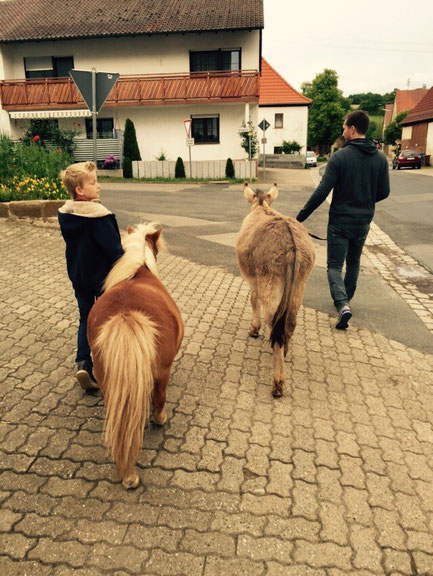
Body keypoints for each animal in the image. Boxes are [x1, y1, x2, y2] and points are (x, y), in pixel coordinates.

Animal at [236, 183, 314, 396]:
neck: (262, 207)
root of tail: (291, 242)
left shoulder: (253, 279)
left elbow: (253, 300)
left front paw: (254, 329)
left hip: (271, 282)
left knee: (274, 323)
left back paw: (278, 382)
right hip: (298, 285)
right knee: (290, 322)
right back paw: (285, 350)